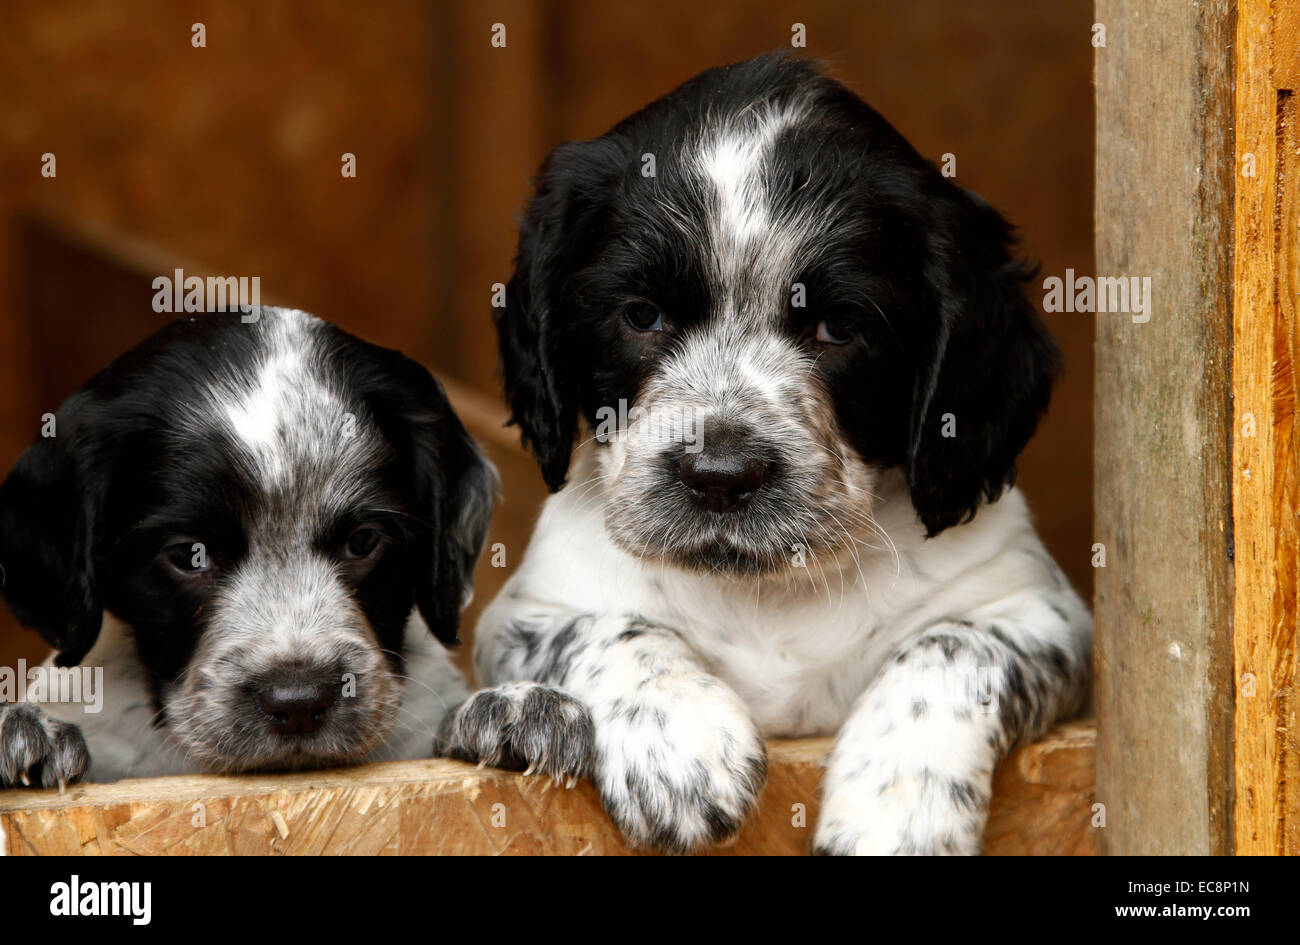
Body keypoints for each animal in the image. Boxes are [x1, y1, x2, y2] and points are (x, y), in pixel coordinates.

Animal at [473, 53, 1092, 857]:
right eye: (641, 315)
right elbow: (611, 628)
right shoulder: (530, 613)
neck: (767, 596)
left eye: (840, 328)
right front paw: (677, 739)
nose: (719, 478)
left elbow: (954, 649)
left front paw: (897, 809)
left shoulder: (1034, 610)